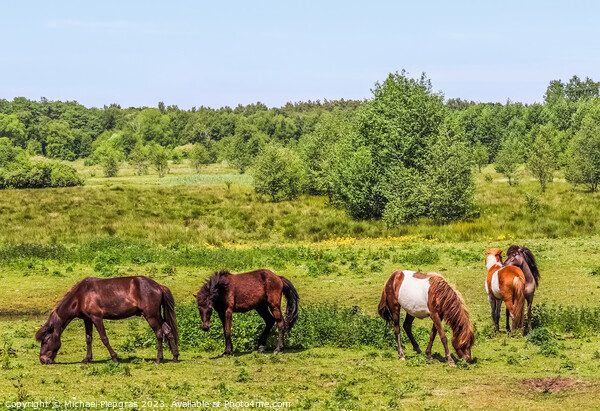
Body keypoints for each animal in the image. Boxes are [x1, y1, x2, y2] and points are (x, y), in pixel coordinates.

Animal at [35, 278, 178, 366]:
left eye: (45, 341)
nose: (43, 360)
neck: (81, 296)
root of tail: (158, 286)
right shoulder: (87, 319)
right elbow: (88, 339)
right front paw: (87, 358)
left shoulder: (97, 318)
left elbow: (104, 338)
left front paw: (114, 357)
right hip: (156, 316)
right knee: (168, 330)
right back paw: (175, 356)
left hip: (151, 316)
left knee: (159, 333)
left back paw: (158, 359)